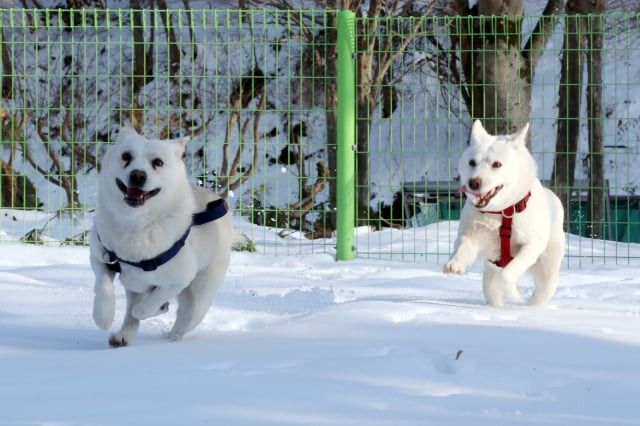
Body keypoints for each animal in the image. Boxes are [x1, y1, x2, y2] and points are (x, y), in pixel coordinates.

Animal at [89, 127, 231, 346]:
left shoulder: (180, 279)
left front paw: (146, 310)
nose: (138, 175)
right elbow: (103, 285)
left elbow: (146, 306)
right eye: (126, 156)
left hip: (199, 296)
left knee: (184, 318)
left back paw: (171, 338)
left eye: (158, 162)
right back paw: (123, 336)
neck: (136, 223)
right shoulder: (100, 256)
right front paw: (102, 315)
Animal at [444, 120, 564, 306]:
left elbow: (507, 275)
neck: (501, 212)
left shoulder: (530, 246)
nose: (473, 183)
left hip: (548, 266)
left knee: (544, 288)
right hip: (489, 278)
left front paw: (514, 293)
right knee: (491, 292)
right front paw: (454, 263)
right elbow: (463, 244)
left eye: (497, 164)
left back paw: (532, 302)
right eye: (472, 162)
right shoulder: (473, 236)